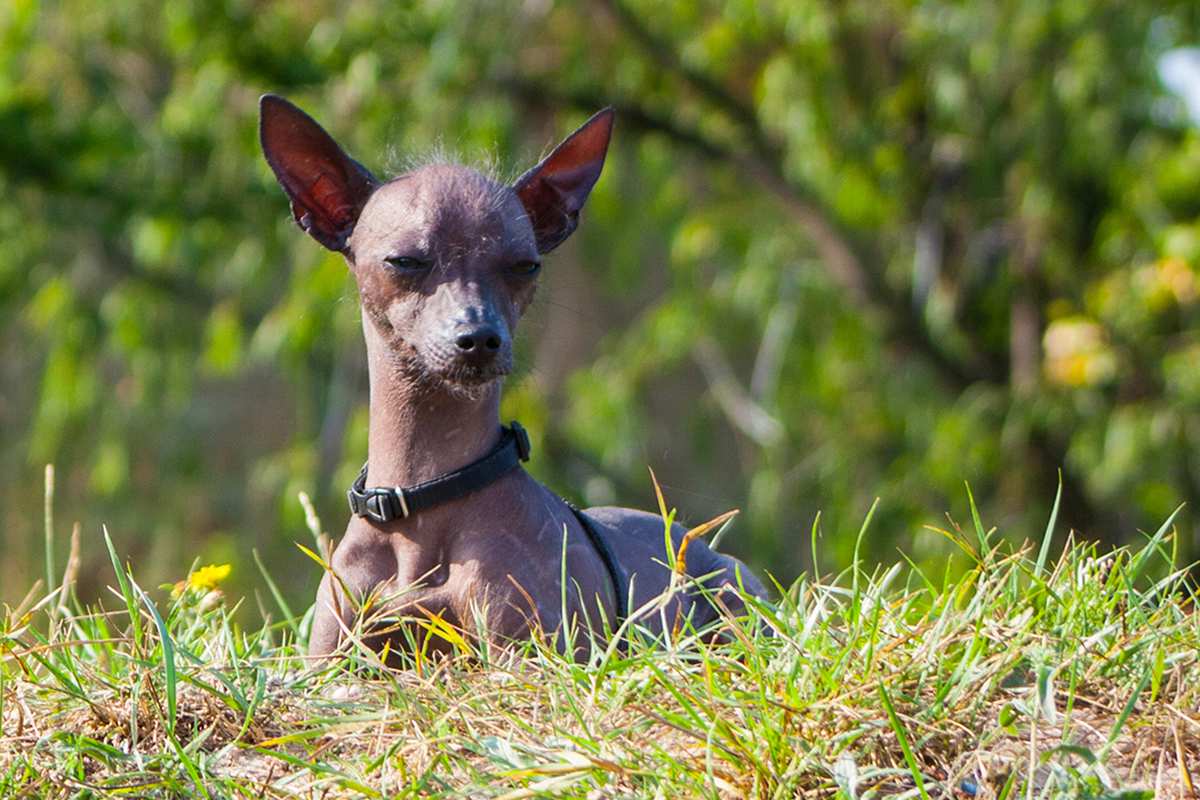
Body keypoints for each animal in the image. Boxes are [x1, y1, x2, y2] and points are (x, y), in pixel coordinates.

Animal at [261, 94, 768, 662]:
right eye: (405, 261)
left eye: (525, 265)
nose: (480, 337)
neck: (421, 506)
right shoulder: (329, 662)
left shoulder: (523, 654)